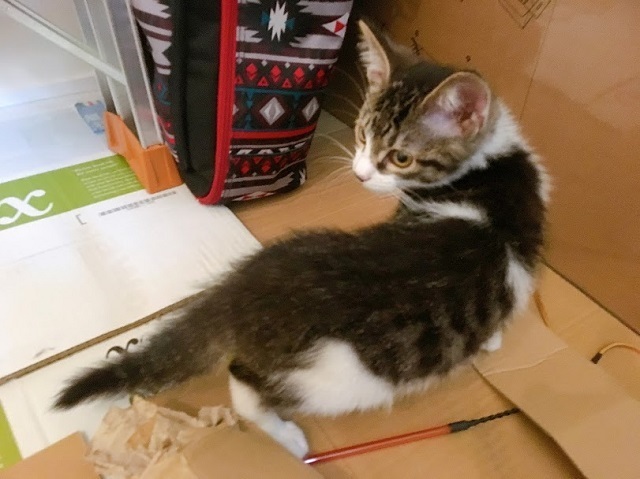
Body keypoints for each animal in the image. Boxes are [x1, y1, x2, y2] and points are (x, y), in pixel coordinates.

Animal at [54, 20, 549, 459]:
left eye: (401, 158)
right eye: (362, 134)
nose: (360, 173)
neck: (489, 167)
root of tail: (240, 294)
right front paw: (492, 341)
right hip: (332, 379)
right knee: (243, 379)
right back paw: (283, 434)